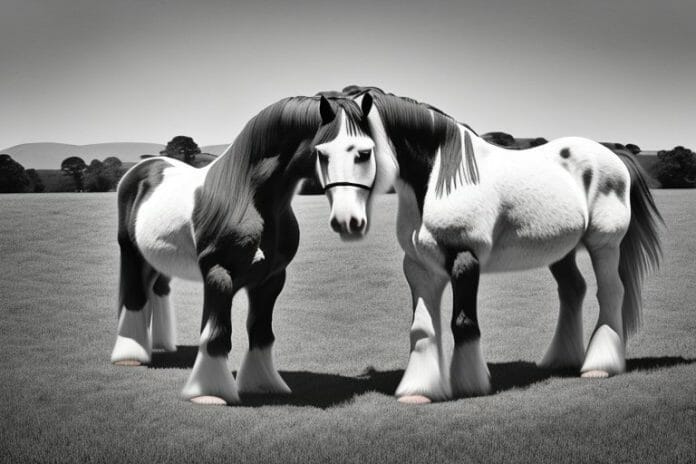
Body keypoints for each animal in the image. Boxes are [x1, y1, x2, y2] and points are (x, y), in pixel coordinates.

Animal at [110, 94, 376, 405]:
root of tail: (137, 172)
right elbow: (216, 334)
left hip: (158, 260)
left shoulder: (271, 280)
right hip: (132, 254)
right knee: (134, 299)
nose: (349, 219)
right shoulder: (218, 275)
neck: (248, 196)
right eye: (323, 152)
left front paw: (264, 383)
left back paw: (162, 345)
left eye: (367, 151)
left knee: (157, 290)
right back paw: (130, 355)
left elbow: (261, 332)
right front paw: (209, 392)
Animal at [327, 85, 663, 404]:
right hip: (560, 250)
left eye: (363, 153)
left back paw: (599, 366)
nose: (346, 221)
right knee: (573, 290)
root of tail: (613, 155)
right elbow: (422, 329)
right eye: (322, 153)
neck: (441, 177)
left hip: (605, 245)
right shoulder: (419, 267)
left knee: (610, 292)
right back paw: (560, 360)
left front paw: (469, 384)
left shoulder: (465, 258)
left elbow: (463, 323)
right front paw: (419, 391)